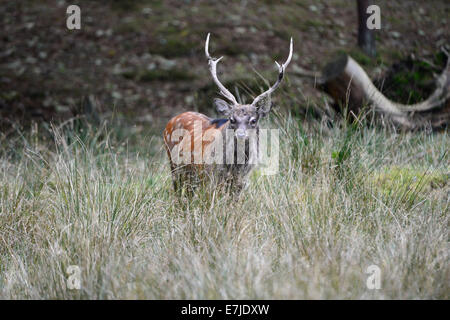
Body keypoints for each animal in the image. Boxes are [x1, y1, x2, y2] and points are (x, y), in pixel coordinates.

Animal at [162, 33, 292, 196]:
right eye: (231, 119)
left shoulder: (242, 182)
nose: (241, 135)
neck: (235, 168)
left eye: (253, 120)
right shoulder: (210, 178)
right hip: (175, 166)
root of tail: (172, 120)